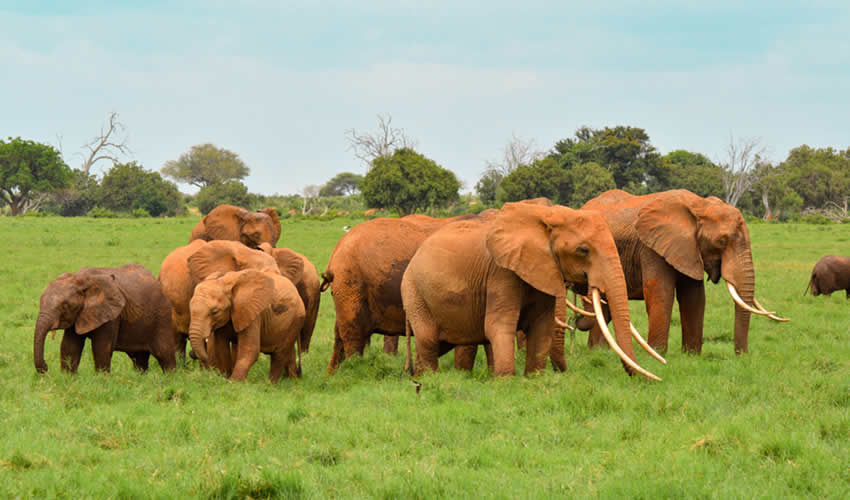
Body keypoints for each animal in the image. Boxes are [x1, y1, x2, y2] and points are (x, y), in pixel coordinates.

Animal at [34, 264, 176, 374]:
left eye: (65, 306)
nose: (46, 367)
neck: (80, 280)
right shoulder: (79, 315)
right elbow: (69, 347)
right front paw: (67, 378)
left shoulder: (111, 315)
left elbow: (102, 348)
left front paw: (102, 380)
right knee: (139, 358)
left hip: (162, 316)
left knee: (164, 354)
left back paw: (170, 378)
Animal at [400, 200, 660, 378]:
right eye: (583, 250)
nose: (647, 380)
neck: (545, 219)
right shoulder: (501, 272)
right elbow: (498, 325)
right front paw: (505, 382)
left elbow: (542, 326)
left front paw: (534, 378)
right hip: (413, 292)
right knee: (428, 339)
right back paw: (430, 379)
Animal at [576, 188, 788, 356]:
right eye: (722, 241)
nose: (742, 357)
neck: (700, 205)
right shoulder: (651, 247)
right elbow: (661, 293)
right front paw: (657, 354)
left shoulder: (689, 249)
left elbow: (694, 297)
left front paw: (692, 356)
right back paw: (598, 352)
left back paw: (599, 352)